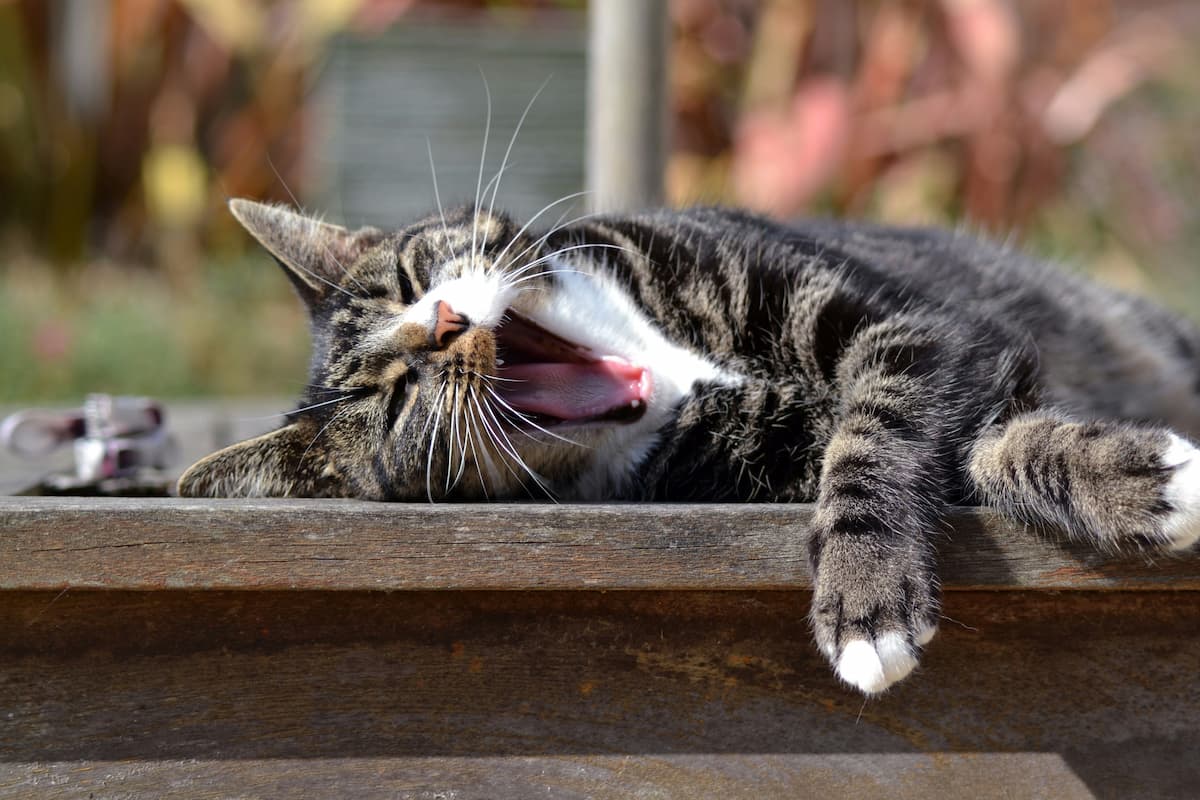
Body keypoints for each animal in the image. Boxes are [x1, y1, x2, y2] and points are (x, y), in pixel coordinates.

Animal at [177, 199, 1200, 695]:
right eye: (393, 404)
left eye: (406, 275)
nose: (443, 325)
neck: (664, 359)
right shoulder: (781, 449)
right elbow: (955, 448)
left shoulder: (924, 329)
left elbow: (886, 418)